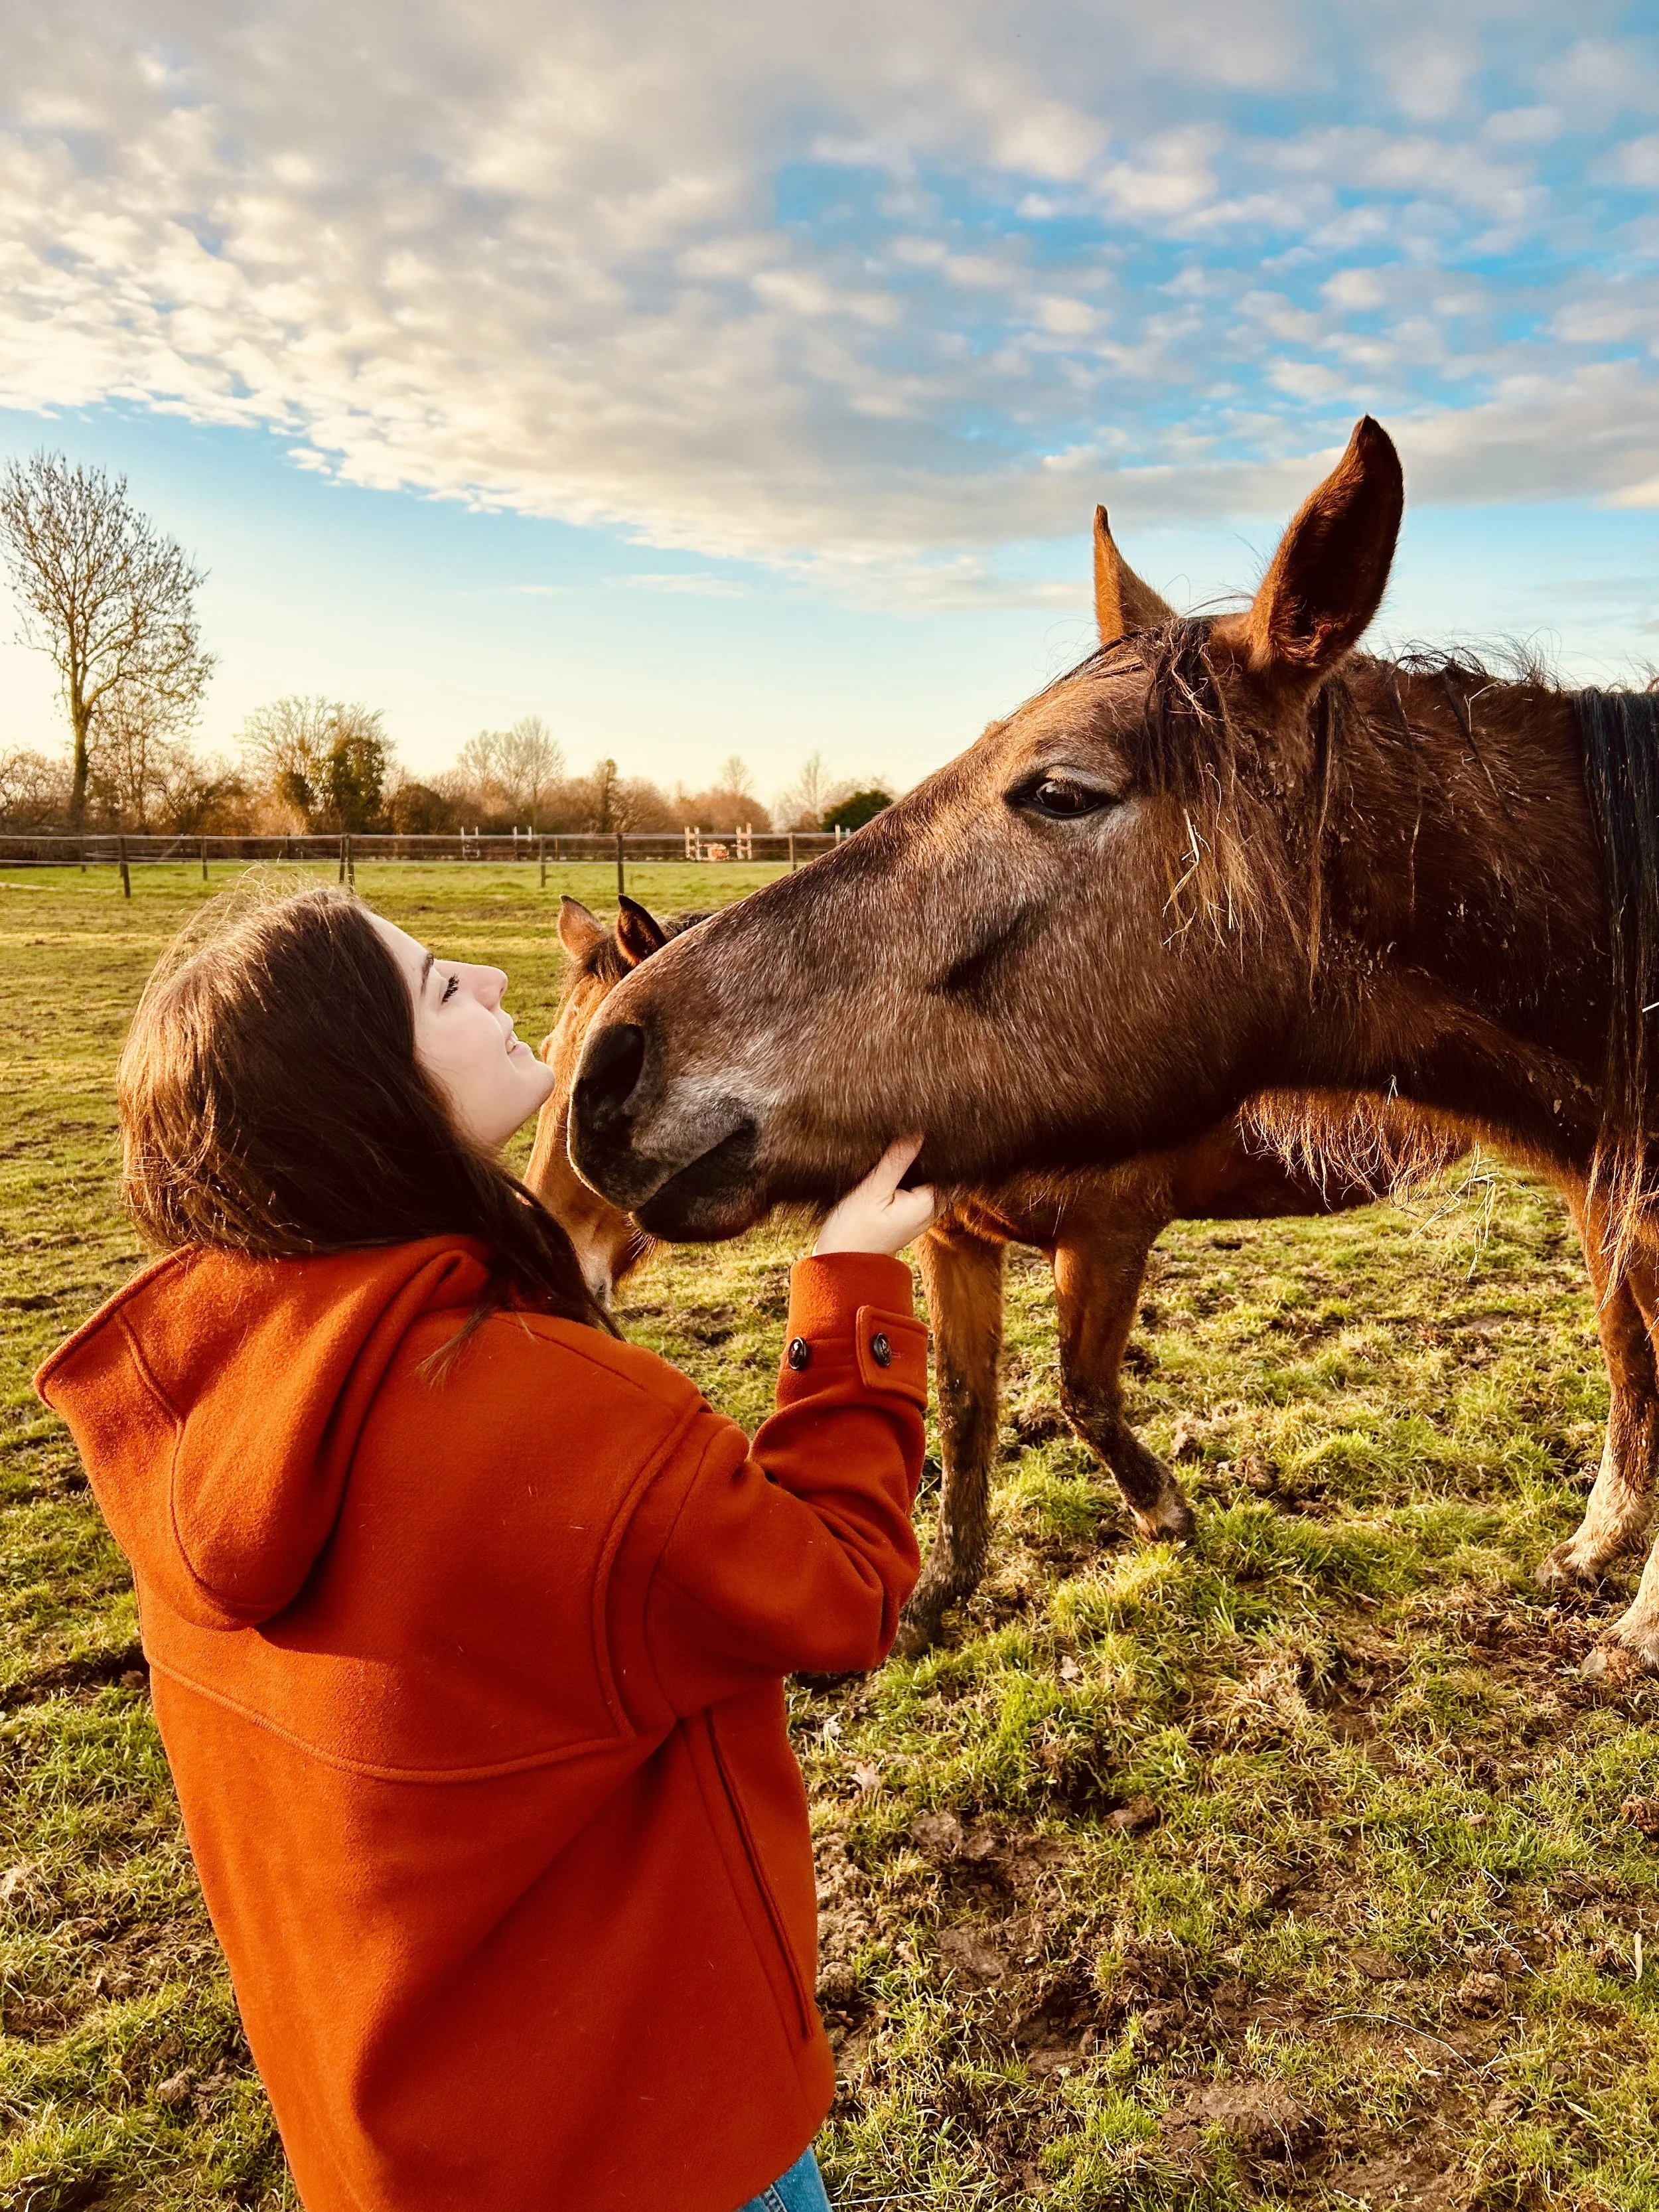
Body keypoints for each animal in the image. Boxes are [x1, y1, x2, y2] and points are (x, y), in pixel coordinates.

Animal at [566, 417, 1659, 1664]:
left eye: (1060, 791)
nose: (612, 1072)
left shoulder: (1111, 1230)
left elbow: (1082, 1391)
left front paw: (1170, 1516)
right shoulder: (954, 1241)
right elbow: (969, 1408)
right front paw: (941, 1593)